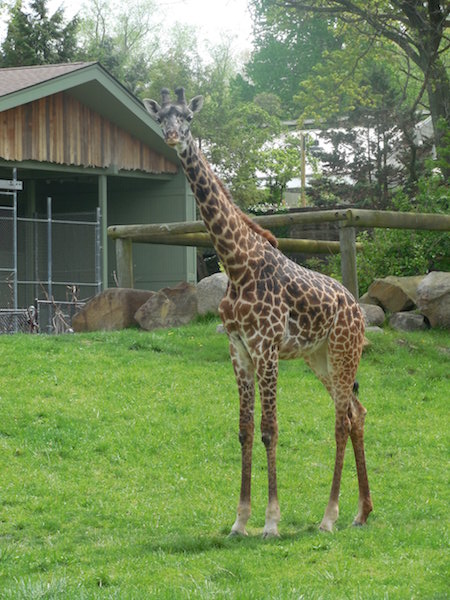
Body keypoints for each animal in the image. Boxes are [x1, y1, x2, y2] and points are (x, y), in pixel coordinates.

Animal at [144, 86, 372, 536]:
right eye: (161, 117)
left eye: (188, 118)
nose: (173, 137)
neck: (236, 263)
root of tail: (358, 309)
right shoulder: (239, 348)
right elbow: (245, 430)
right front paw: (239, 520)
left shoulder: (266, 347)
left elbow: (270, 429)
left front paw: (270, 522)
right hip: (319, 358)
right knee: (356, 413)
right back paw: (361, 512)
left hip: (343, 352)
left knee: (341, 420)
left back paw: (329, 516)